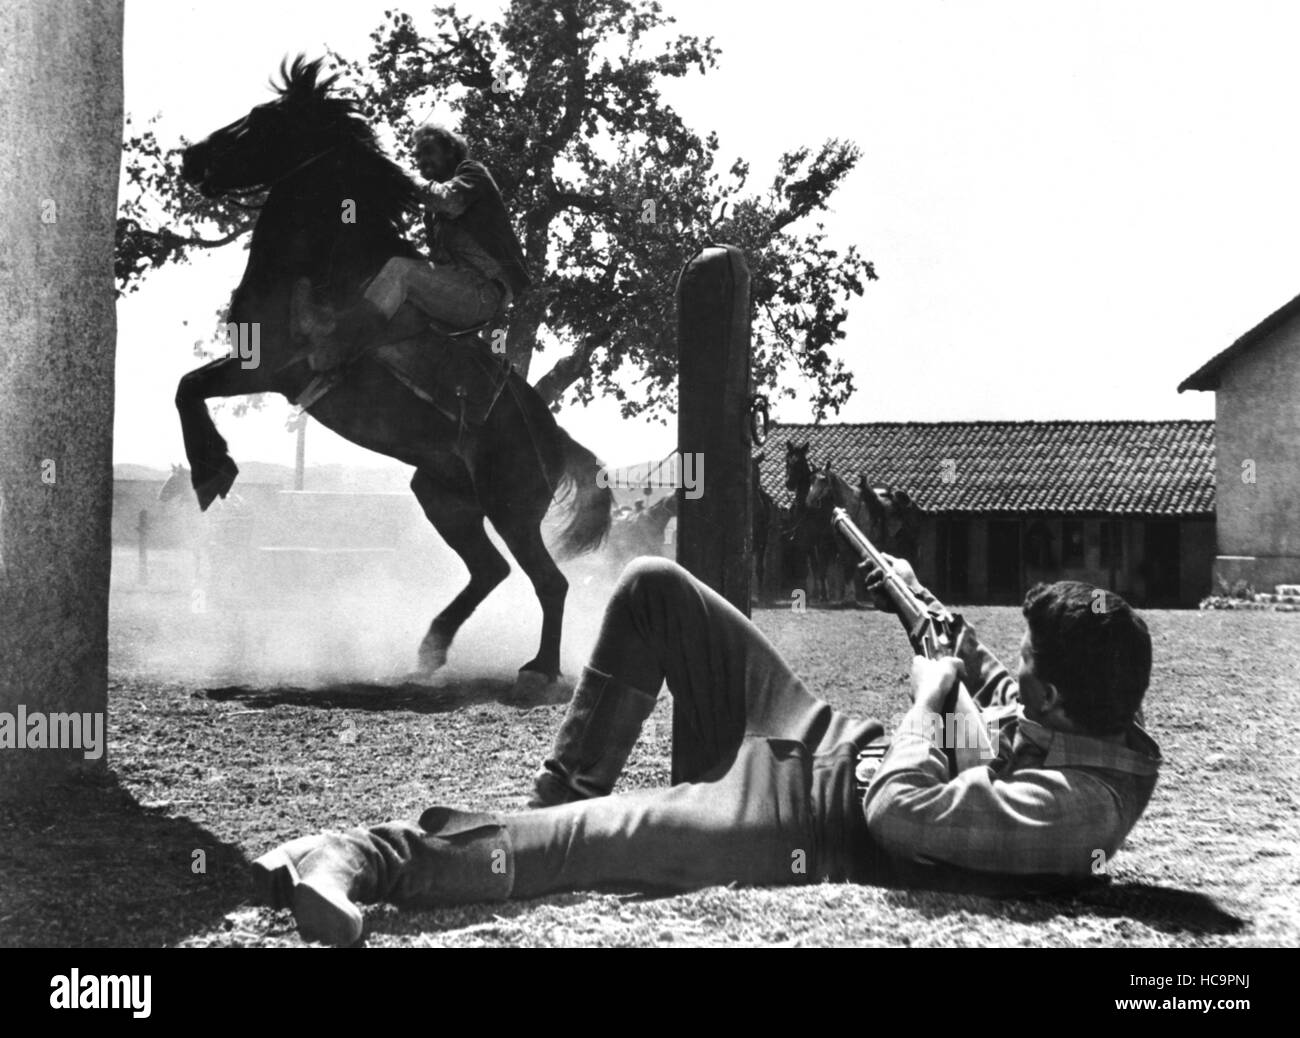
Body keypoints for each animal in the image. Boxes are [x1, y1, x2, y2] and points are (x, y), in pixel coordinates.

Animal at [174, 56, 613, 692]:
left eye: (261, 120)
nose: (192, 158)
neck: (321, 264)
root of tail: (556, 436)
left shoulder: (272, 368)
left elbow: (188, 389)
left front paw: (212, 473)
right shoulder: (255, 367)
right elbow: (189, 387)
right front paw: (212, 470)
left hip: (510, 508)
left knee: (547, 580)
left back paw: (539, 669)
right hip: (442, 496)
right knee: (491, 570)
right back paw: (430, 651)